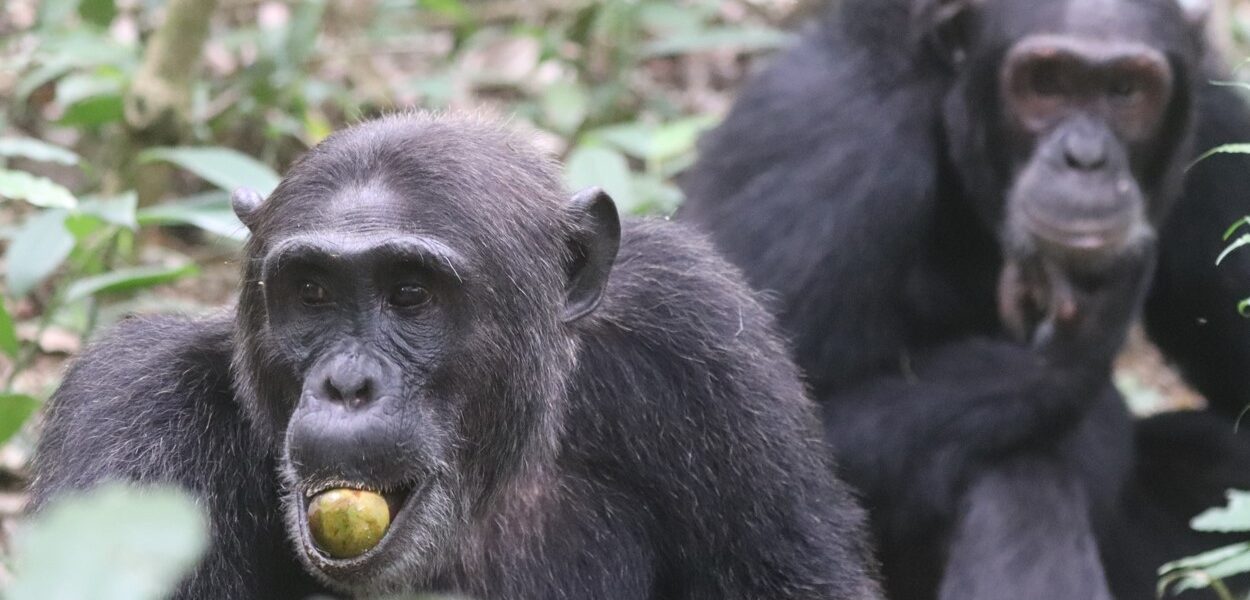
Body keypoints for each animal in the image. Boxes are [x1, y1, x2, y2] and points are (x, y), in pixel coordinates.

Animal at [680, 1, 1250, 600]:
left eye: (1125, 90)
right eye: (1046, 83)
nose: (1086, 158)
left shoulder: (1219, 128)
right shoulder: (828, 146)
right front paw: (1073, 352)